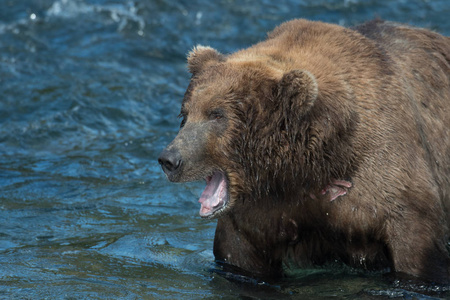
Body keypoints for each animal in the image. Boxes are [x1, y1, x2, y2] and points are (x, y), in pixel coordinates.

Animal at [158, 18, 450, 284]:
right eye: (185, 114)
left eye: (217, 115)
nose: (169, 159)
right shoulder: (259, 212)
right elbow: (241, 258)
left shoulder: (387, 182)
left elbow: (414, 251)